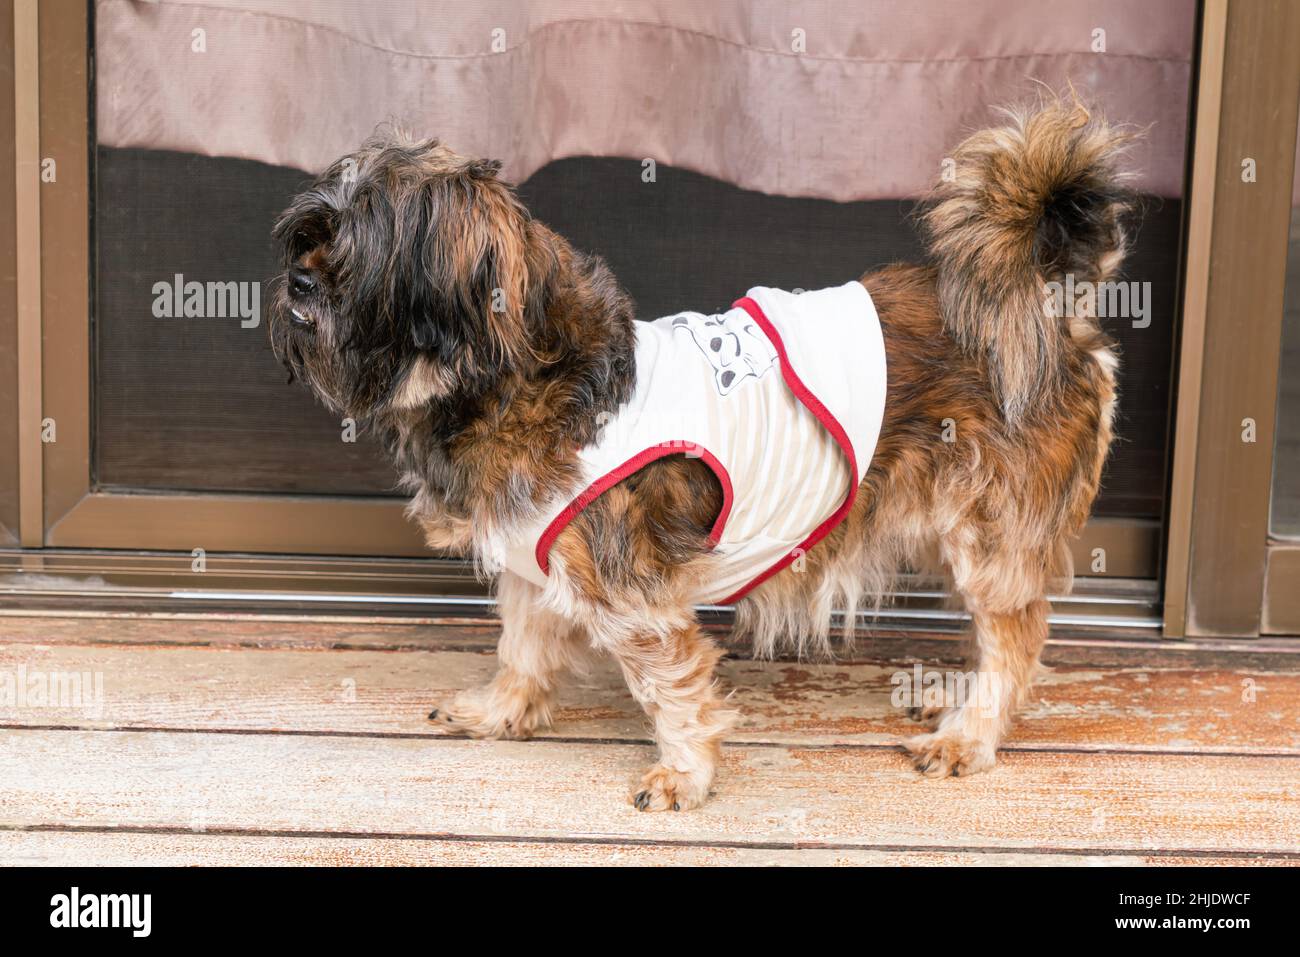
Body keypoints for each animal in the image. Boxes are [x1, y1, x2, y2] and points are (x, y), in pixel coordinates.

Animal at [271, 97, 1128, 811]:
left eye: (359, 257)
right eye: (308, 240)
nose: (296, 284)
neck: (526, 374)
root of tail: (1046, 310)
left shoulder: (633, 598)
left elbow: (672, 690)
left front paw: (684, 772)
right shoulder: (537, 563)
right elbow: (523, 645)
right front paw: (502, 709)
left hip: (987, 534)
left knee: (1016, 641)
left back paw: (971, 730)